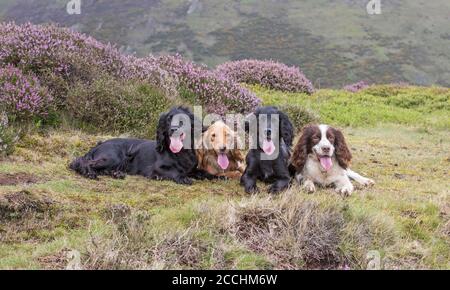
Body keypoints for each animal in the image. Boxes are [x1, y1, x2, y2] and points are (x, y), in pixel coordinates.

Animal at [69, 107, 213, 186]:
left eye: (182, 120)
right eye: (169, 119)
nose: (173, 129)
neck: (180, 152)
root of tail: (98, 145)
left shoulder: (192, 169)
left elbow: (204, 172)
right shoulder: (156, 168)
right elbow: (174, 172)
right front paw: (182, 178)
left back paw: (116, 174)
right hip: (113, 157)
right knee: (83, 162)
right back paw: (89, 173)